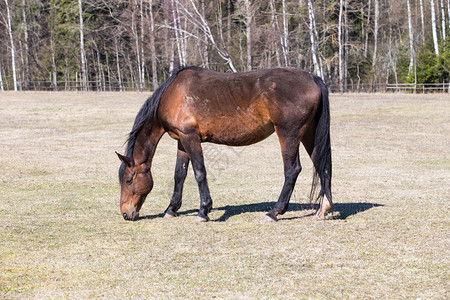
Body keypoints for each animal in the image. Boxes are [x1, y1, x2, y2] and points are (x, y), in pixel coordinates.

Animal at [117, 67, 330, 221]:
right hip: (309, 135)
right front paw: (171, 209)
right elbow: (179, 175)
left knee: (292, 170)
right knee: (323, 166)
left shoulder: (190, 137)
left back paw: (274, 212)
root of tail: (312, 78)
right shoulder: (181, 141)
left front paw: (203, 211)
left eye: (128, 180)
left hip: (288, 134)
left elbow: (199, 173)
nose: (126, 214)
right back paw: (323, 210)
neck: (173, 94)